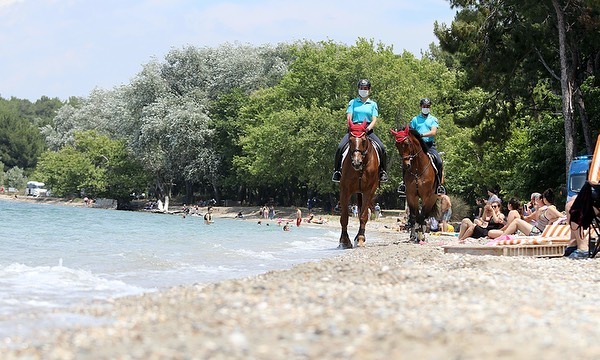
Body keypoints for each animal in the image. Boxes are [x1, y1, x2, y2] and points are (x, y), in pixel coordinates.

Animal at [338, 119, 380, 249]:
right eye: (350, 140)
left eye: (364, 140)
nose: (357, 162)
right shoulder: (345, 190)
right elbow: (344, 217)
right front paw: (344, 240)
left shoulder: (369, 191)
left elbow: (363, 215)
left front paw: (360, 238)